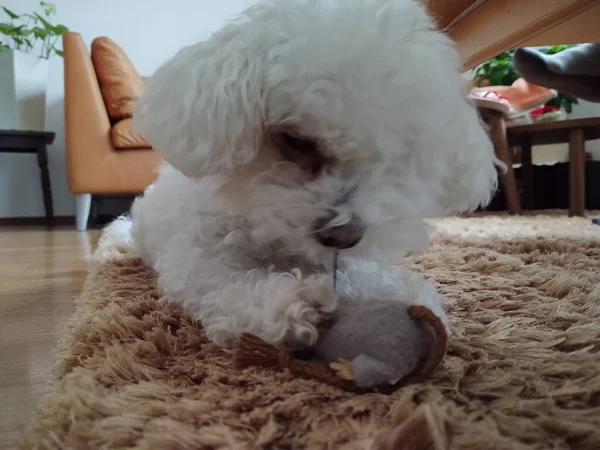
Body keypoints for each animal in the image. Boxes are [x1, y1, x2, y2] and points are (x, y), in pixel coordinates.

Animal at [129, 0, 500, 348]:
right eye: (298, 140)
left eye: (400, 151)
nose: (343, 236)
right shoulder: (197, 258)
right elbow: (226, 285)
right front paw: (291, 303)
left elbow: (363, 275)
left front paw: (403, 296)